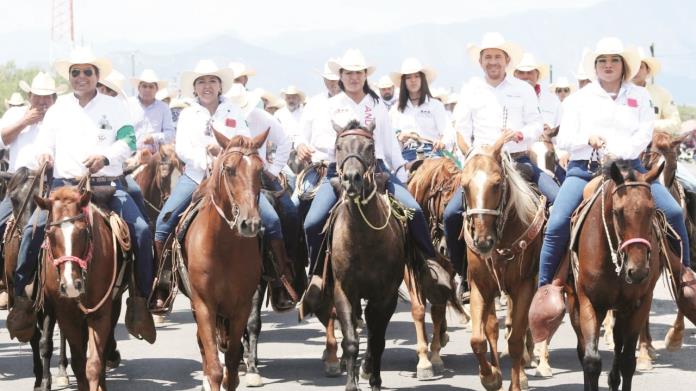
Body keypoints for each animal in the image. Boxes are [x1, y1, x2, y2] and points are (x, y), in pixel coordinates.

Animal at [1, 167, 69, 390]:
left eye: (42, 197)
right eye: (14, 199)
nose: (29, 234)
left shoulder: (48, 302)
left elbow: (45, 342)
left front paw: (46, 380)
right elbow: (33, 337)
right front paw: (38, 378)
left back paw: (63, 368)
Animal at [35, 185, 130, 391]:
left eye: (83, 231)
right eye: (50, 234)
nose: (71, 285)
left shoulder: (100, 312)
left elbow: (93, 364)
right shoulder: (66, 315)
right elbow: (78, 364)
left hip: (114, 303)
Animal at [182, 130, 270, 390]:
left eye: (260, 170)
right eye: (229, 169)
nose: (250, 223)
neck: (223, 248)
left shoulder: (241, 307)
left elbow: (231, 365)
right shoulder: (204, 305)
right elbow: (214, 366)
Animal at [460, 132, 548, 391]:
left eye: (497, 184)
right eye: (464, 185)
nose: (482, 242)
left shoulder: (524, 286)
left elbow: (516, 339)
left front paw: (516, 383)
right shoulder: (481, 286)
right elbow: (478, 338)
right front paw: (491, 377)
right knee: (492, 328)